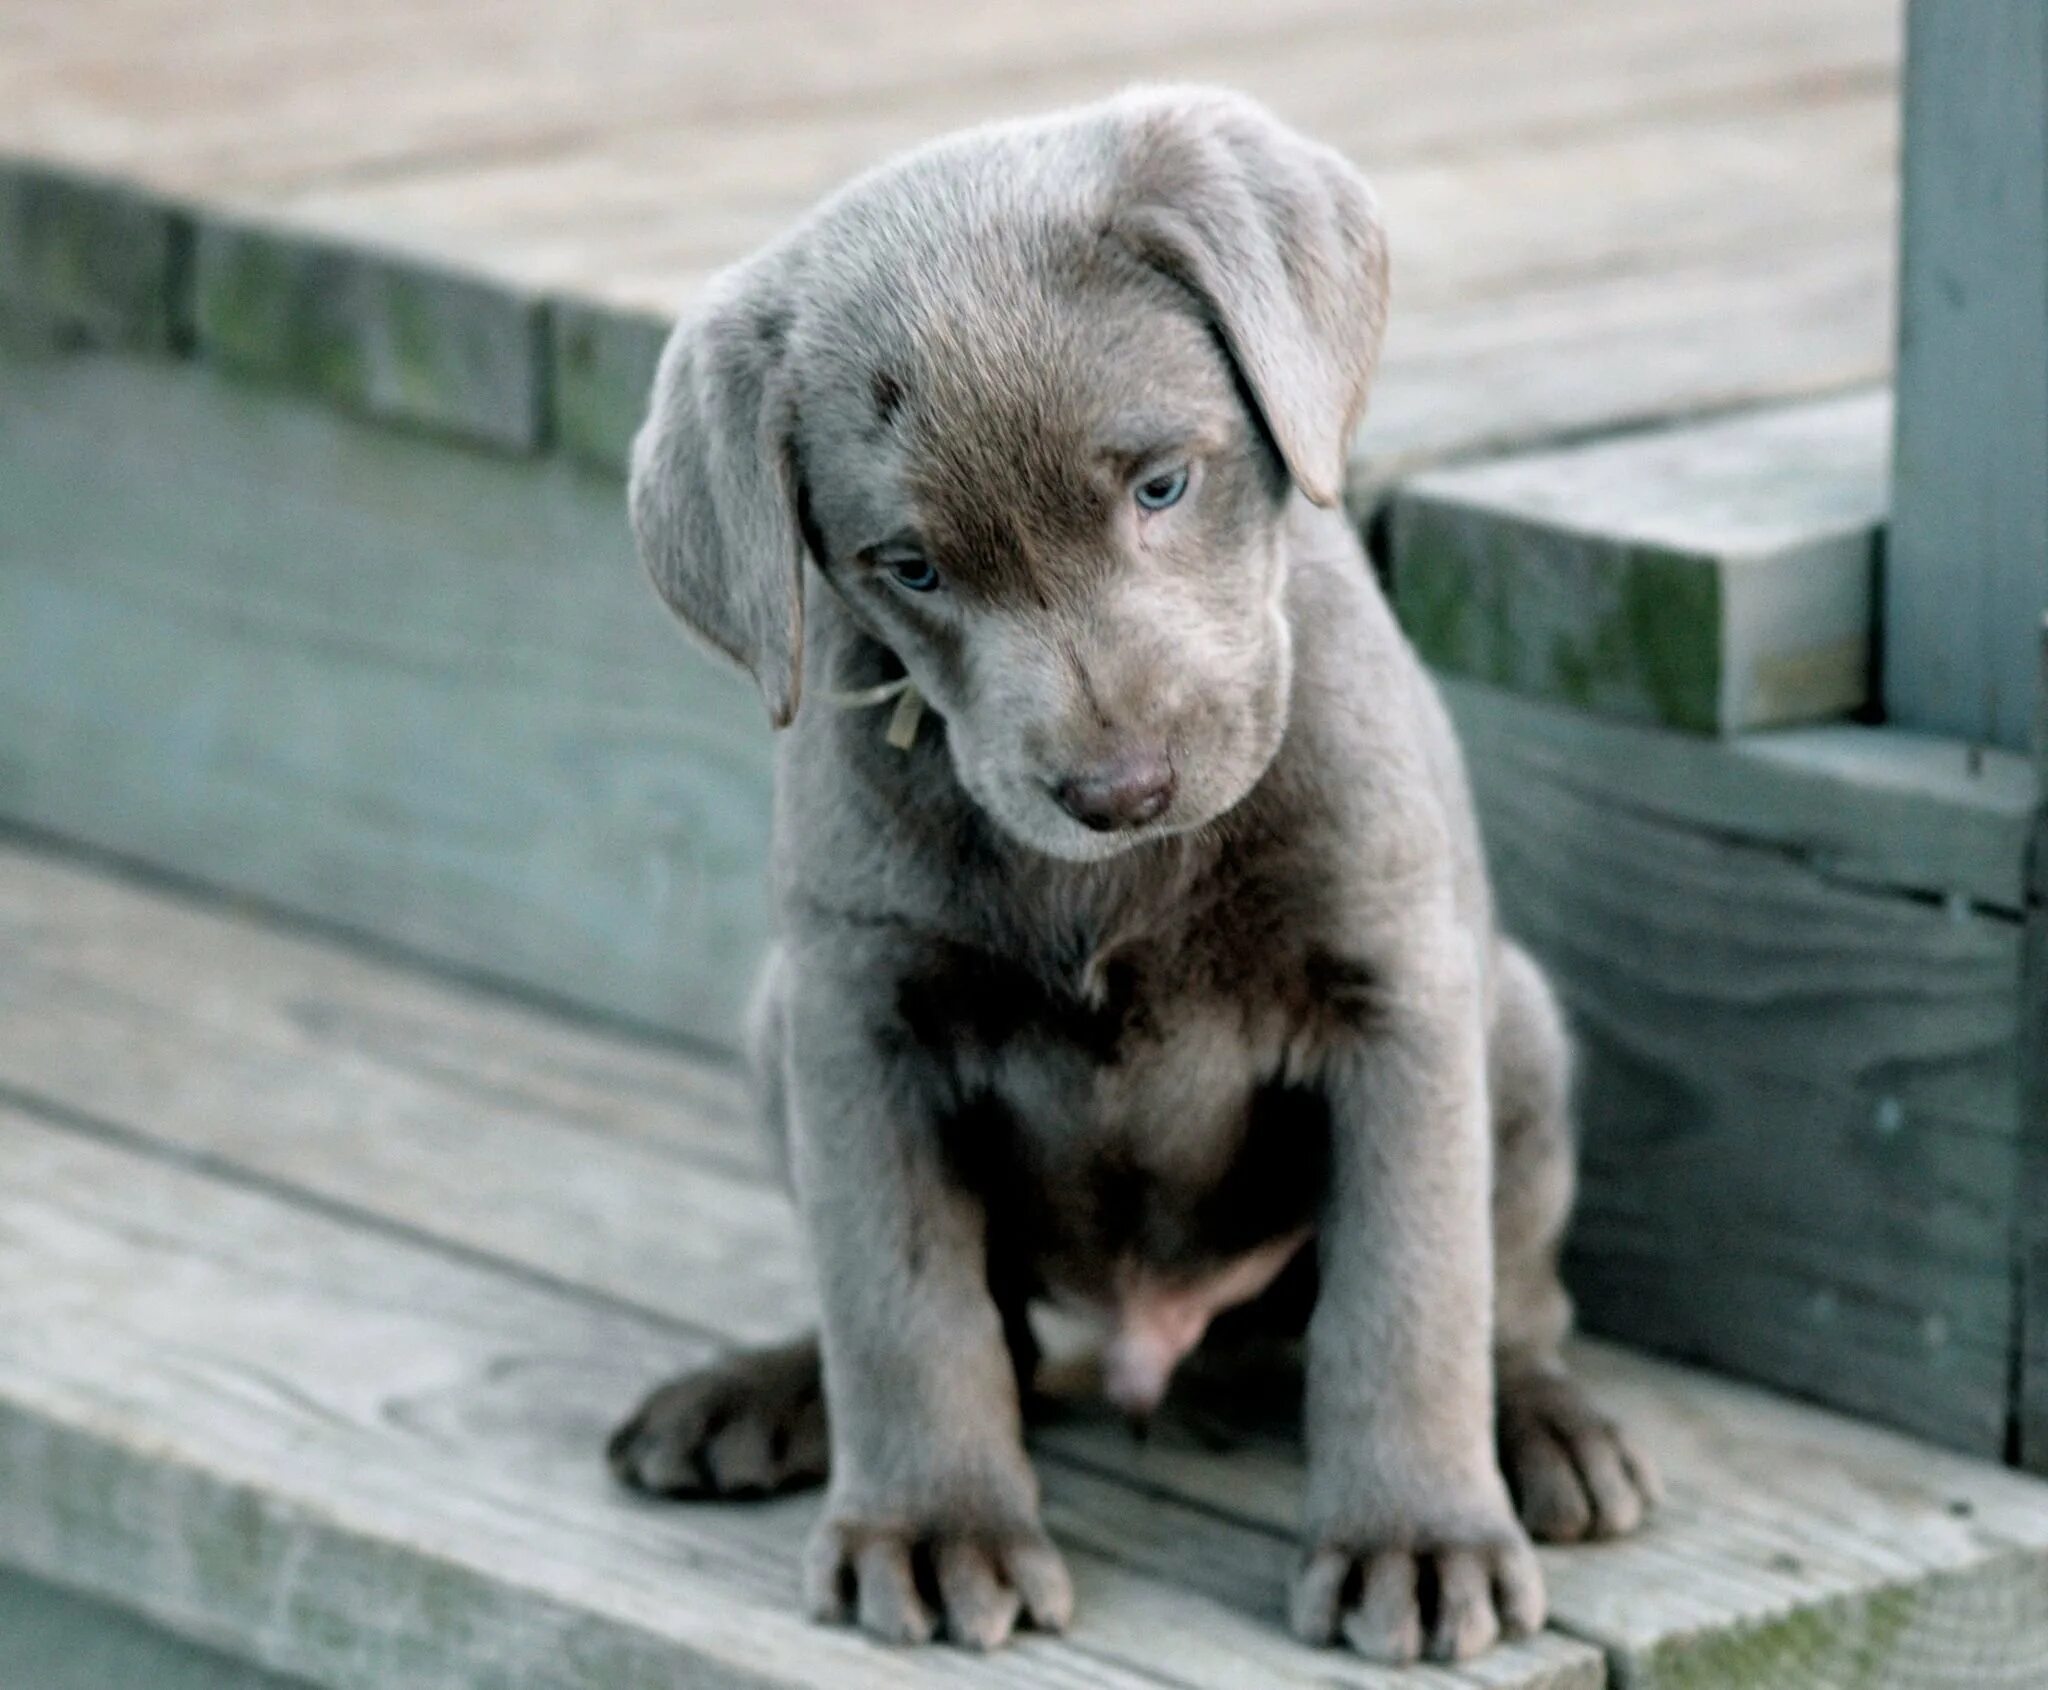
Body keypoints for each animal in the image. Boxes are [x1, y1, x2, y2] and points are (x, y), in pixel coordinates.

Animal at [602, 85, 1646, 1655]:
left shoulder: (1396, 998)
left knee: (1510, 1296)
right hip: (776, 1024)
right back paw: (770, 1388)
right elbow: (904, 1305)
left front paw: (1416, 1540)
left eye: (1162, 483)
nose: (1119, 791)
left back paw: (1542, 1427)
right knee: (986, 1329)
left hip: (1511, 1024)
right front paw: (932, 1526)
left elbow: (1406, 1297)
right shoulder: (857, 1020)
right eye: (909, 567)